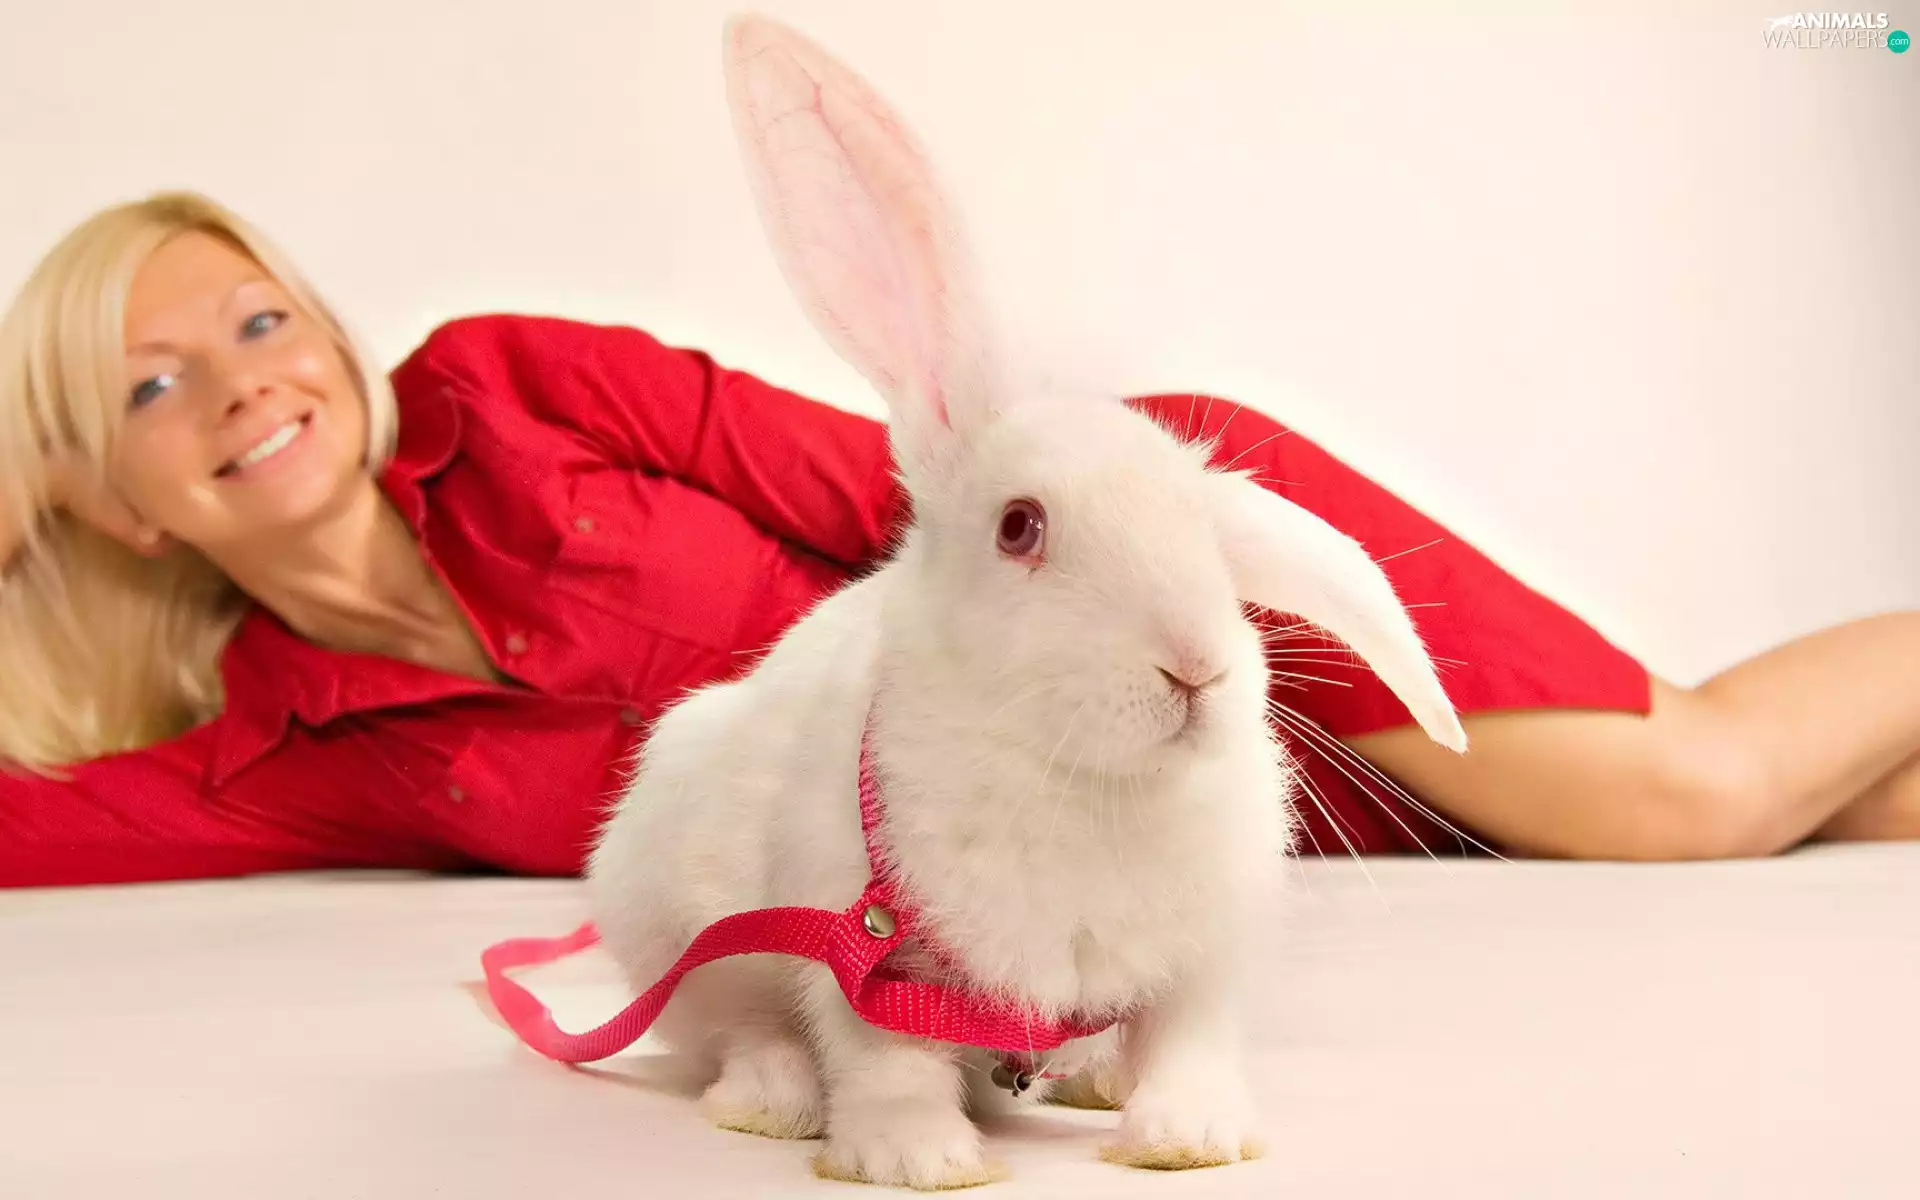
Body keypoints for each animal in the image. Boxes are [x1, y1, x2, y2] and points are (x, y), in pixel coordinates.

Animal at [582, 12, 1469, 1191]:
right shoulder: (857, 937)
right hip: (672, 919)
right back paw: (773, 1103)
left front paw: (1190, 1139)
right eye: (1019, 528)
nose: (1196, 666)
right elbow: (882, 1055)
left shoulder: (1203, 955)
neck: (1088, 784)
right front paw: (917, 1159)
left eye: (1207, 533)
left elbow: (1190, 1038)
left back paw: (1090, 1079)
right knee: (742, 1027)